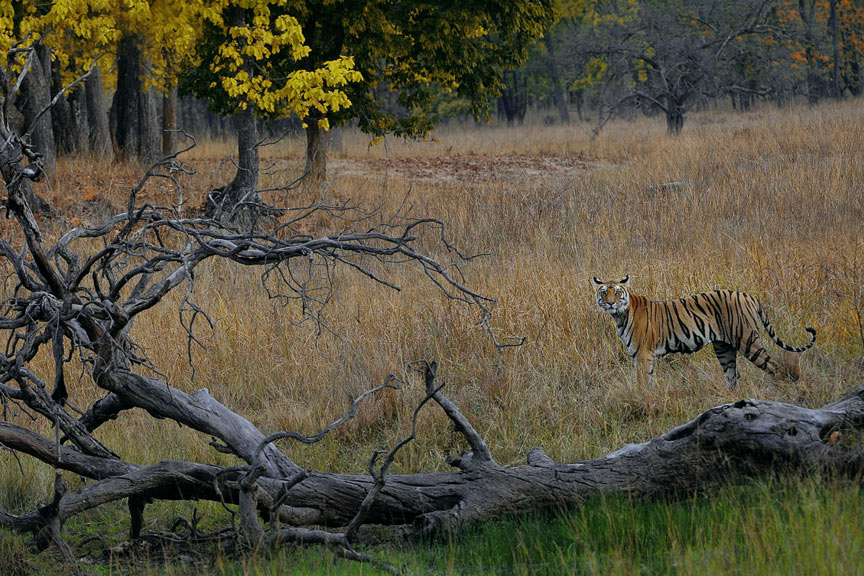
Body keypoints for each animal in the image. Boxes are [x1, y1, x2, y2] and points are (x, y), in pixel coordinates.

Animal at [593, 276, 816, 388]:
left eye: (617, 292)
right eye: (604, 293)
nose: (610, 303)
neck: (620, 316)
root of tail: (748, 295)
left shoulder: (643, 354)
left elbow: (642, 381)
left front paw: (643, 397)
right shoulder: (639, 356)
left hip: (747, 339)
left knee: (773, 366)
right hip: (724, 348)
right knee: (732, 376)